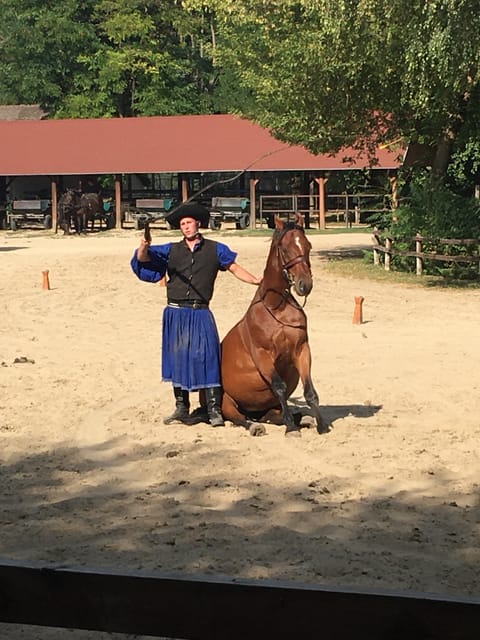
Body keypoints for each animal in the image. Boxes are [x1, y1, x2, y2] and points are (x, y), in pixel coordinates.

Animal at [221, 213, 327, 437]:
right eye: (285, 248)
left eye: (308, 246)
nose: (305, 285)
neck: (276, 307)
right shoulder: (263, 355)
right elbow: (279, 387)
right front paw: (291, 429)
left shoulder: (302, 350)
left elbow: (310, 391)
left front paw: (320, 424)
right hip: (225, 399)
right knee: (236, 417)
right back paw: (255, 426)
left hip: (267, 407)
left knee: (270, 415)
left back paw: (303, 419)